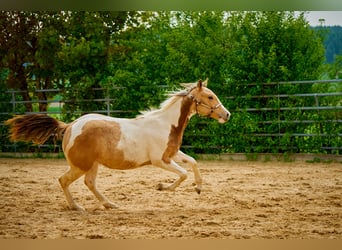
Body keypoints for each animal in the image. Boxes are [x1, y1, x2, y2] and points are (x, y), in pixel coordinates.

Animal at [4, 78, 230, 211]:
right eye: (210, 96)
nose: (227, 114)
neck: (166, 124)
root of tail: (69, 126)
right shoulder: (160, 160)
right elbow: (183, 174)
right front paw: (161, 187)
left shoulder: (172, 154)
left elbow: (193, 162)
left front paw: (198, 187)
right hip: (81, 165)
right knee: (63, 180)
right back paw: (77, 207)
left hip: (92, 164)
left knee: (89, 183)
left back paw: (110, 204)